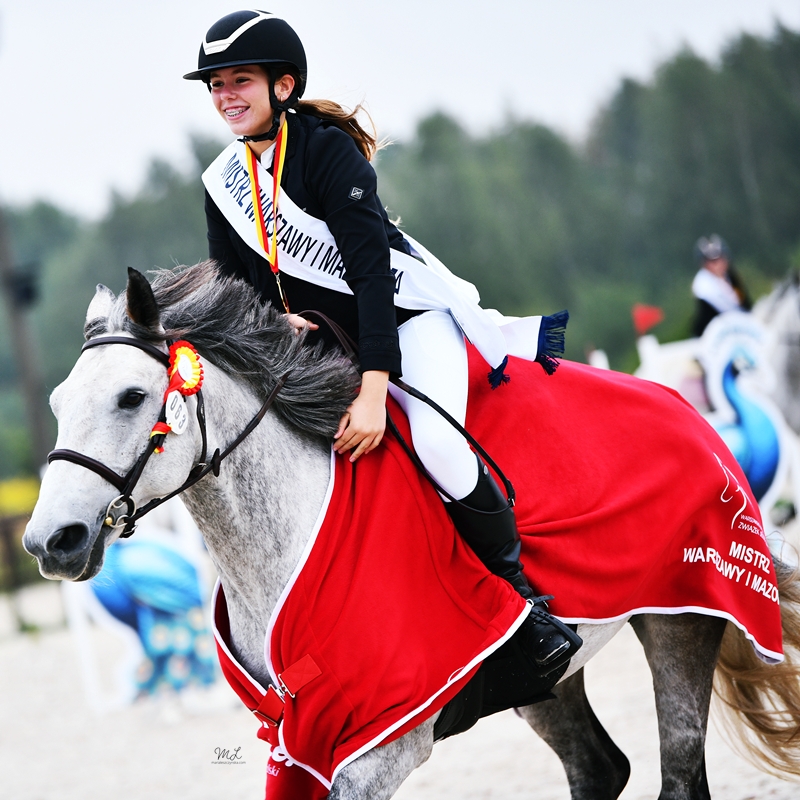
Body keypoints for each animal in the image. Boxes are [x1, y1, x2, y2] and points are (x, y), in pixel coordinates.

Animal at [23, 263, 800, 799]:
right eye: (59, 402)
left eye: (131, 397)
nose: (49, 542)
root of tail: (682, 404)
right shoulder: (297, 746)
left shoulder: (376, 752)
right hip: (542, 680)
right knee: (599, 768)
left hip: (684, 615)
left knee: (678, 772)